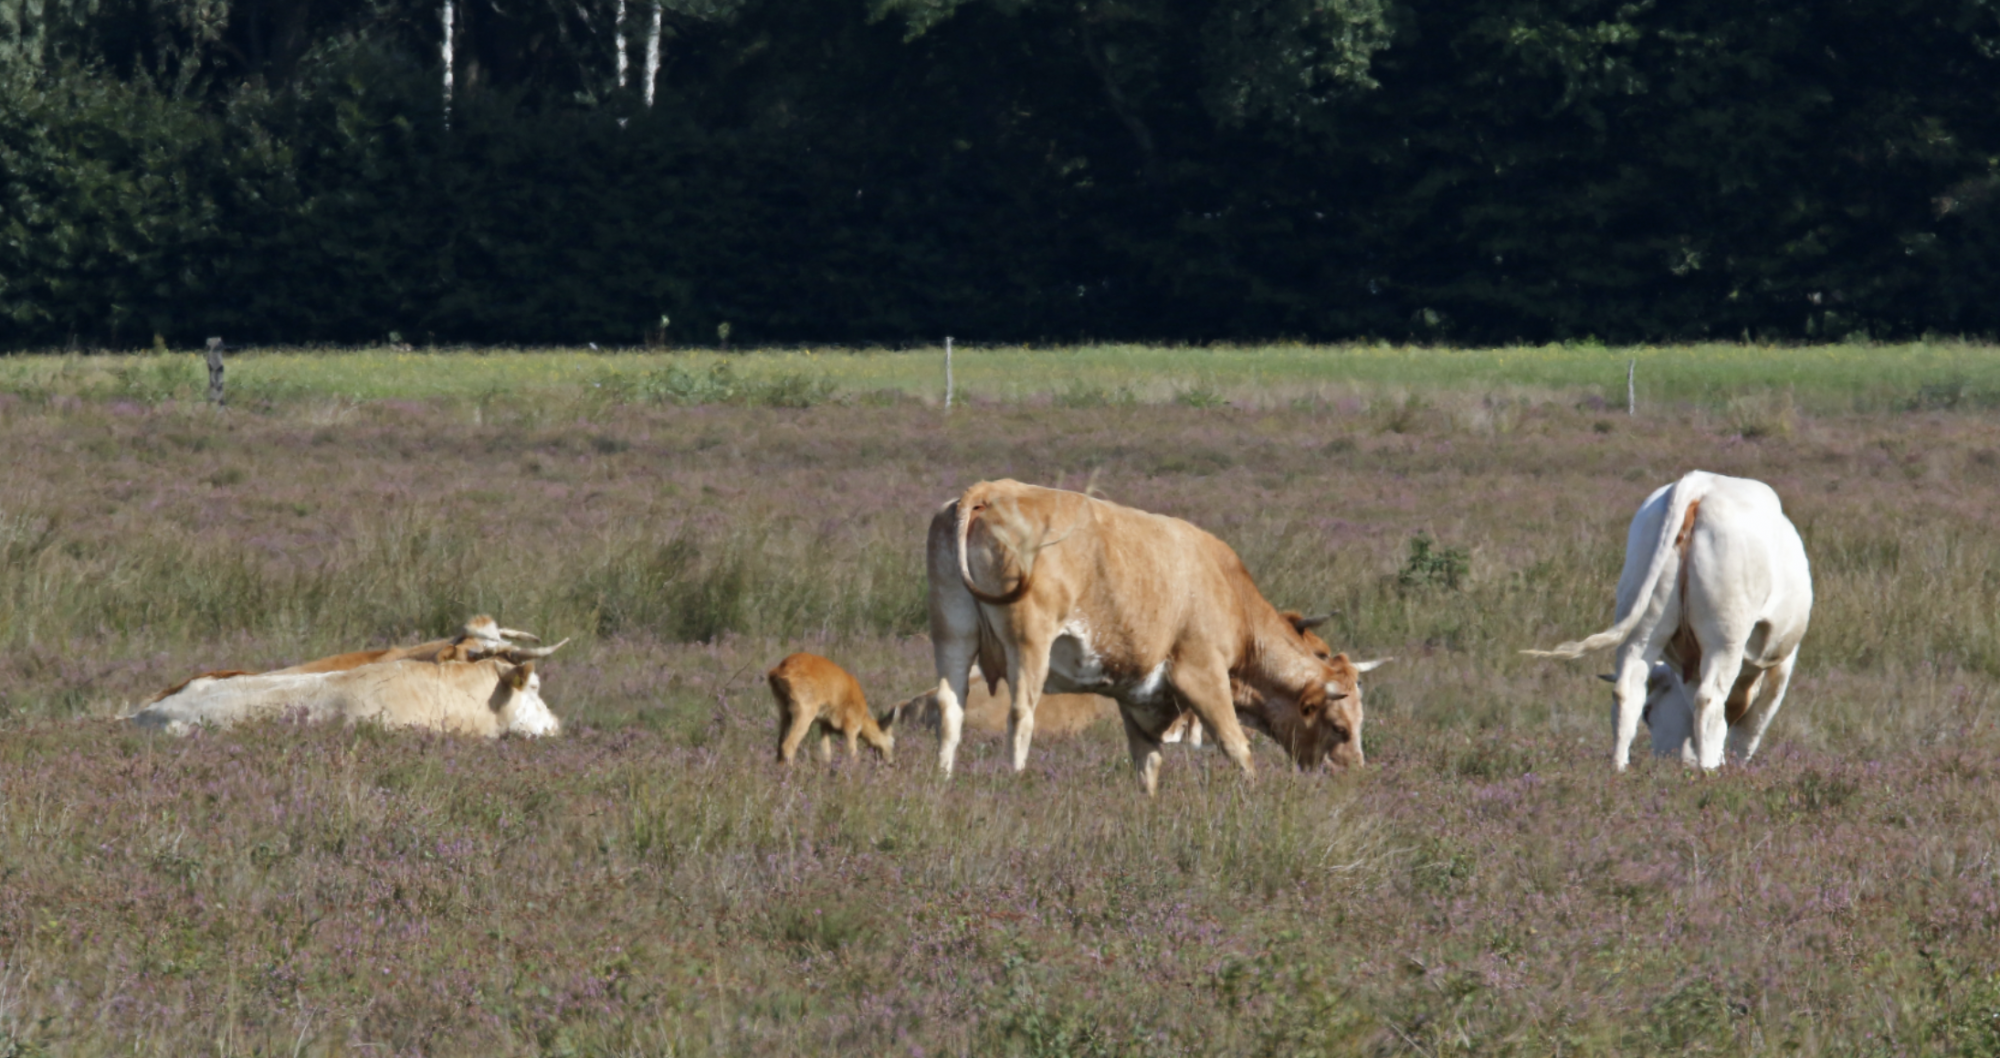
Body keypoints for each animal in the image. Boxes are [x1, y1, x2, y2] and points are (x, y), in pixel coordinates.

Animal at [768, 652, 897, 764]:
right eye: (892, 740)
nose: (891, 763)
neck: (863, 715)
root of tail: (781, 668)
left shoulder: (824, 726)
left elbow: (826, 754)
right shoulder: (850, 729)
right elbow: (853, 756)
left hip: (785, 714)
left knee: (780, 744)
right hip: (805, 714)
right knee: (788, 745)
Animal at [927, 479, 1388, 794]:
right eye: (1339, 728)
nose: (1354, 774)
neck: (1228, 592)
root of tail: (991, 489)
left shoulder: (1137, 697)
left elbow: (1147, 764)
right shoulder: (1202, 675)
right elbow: (1236, 744)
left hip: (952, 633)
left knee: (951, 708)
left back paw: (942, 781)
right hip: (1029, 644)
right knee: (1021, 715)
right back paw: (1016, 780)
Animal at [1525, 470, 1812, 771]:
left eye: (1649, 713)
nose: (1670, 760)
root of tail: (1699, 483)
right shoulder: (1780, 664)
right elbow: (1750, 729)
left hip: (1643, 624)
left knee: (1627, 690)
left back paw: (1619, 769)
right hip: (1724, 637)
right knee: (1709, 702)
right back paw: (1709, 770)